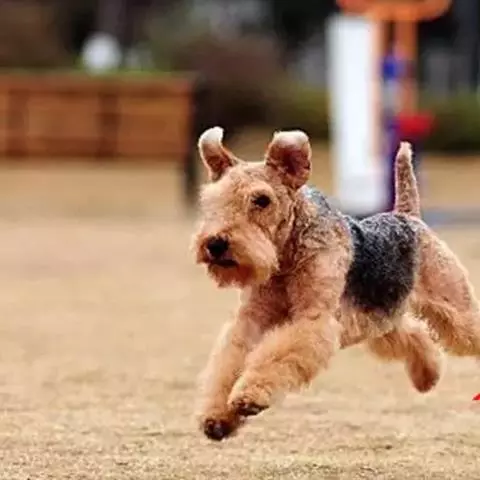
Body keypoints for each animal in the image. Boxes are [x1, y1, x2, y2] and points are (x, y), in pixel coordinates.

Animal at [191, 127, 480, 441]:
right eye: (212, 200)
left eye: (261, 199)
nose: (216, 244)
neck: (288, 256)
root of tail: (408, 217)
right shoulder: (251, 320)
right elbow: (231, 358)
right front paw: (218, 417)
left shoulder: (313, 320)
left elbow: (276, 355)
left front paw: (249, 396)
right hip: (381, 321)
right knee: (416, 334)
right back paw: (427, 377)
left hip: (455, 310)